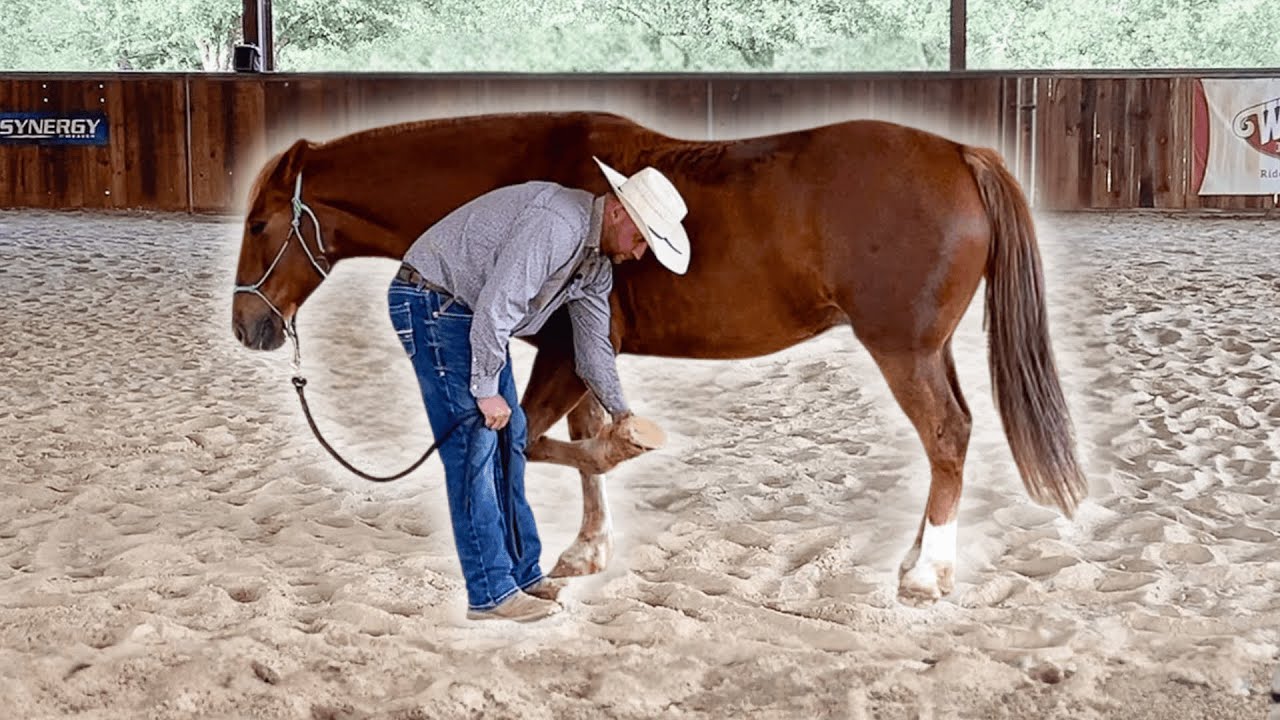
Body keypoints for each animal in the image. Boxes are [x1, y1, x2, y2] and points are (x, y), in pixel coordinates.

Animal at [230, 110, 1087, 605]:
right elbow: (570, 440)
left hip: (903, 350)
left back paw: (924, 573)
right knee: (957, 435)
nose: (248, 325)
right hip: (929, 350)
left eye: (262, 224)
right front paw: (587, 545)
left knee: (946, 436)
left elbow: (533, 440)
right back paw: (919, 556)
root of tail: (961, 153)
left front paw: (607, 476)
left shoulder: (562, 353)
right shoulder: (578, 348)